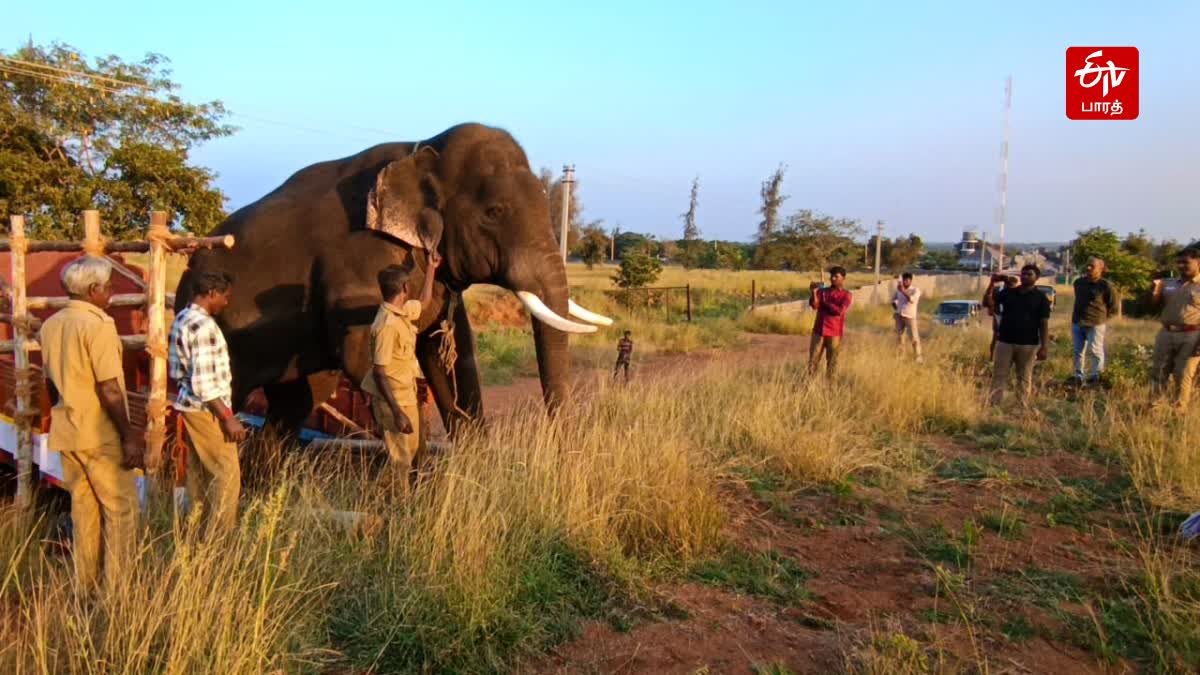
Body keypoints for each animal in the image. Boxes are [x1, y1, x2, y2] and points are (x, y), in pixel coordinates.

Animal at [174, 121, 614, 437]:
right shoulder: (358, 262)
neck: (424, 148)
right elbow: (363, 357)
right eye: (494, 213)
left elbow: (452, 354)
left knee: (295, 403)